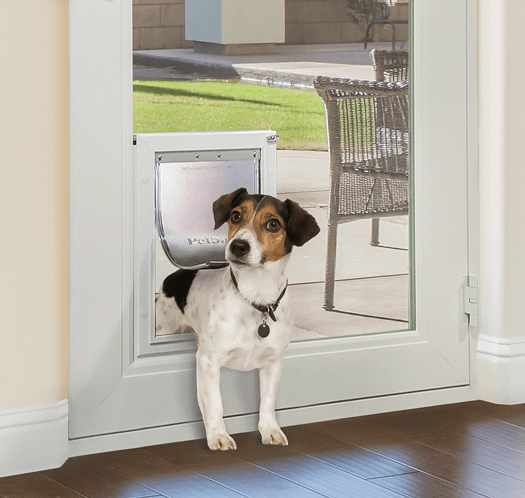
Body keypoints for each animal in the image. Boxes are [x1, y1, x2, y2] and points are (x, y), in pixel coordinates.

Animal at [155, 187, 320, 452]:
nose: (238, 246)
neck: (256, 297)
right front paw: (218, 436)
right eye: (235, 216)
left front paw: (270, 430)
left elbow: (267, 401)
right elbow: (215, 402)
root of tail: (176, 275)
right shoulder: (208, 361)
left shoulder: (274, 363)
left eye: (274, 224)